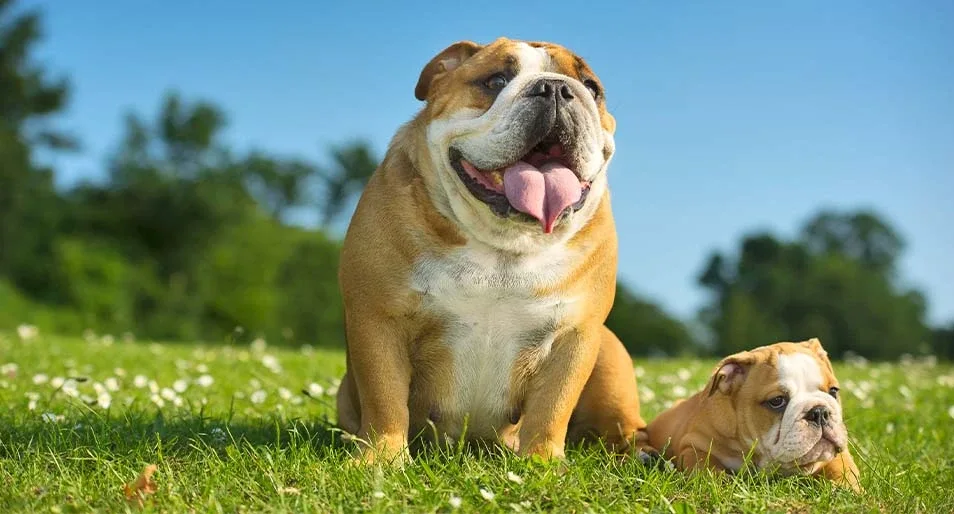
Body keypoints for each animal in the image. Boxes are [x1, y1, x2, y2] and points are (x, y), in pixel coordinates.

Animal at [332, 38, 648, 464]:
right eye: (495, 80)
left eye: (591, 87)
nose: (555, 88)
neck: (503, 243)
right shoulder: (379, 319)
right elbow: (385, 397)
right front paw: (382, 458)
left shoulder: (575, 335)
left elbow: (552, 407)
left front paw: (542, 463)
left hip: (610, 356)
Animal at [644, 338, 860, 490]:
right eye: (777, 401)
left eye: (833, 391)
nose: (819, 412)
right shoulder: (693, 446)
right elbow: (706, 468)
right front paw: (722, 484)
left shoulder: (837, 454)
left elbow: (843, 468)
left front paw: (846, 490)